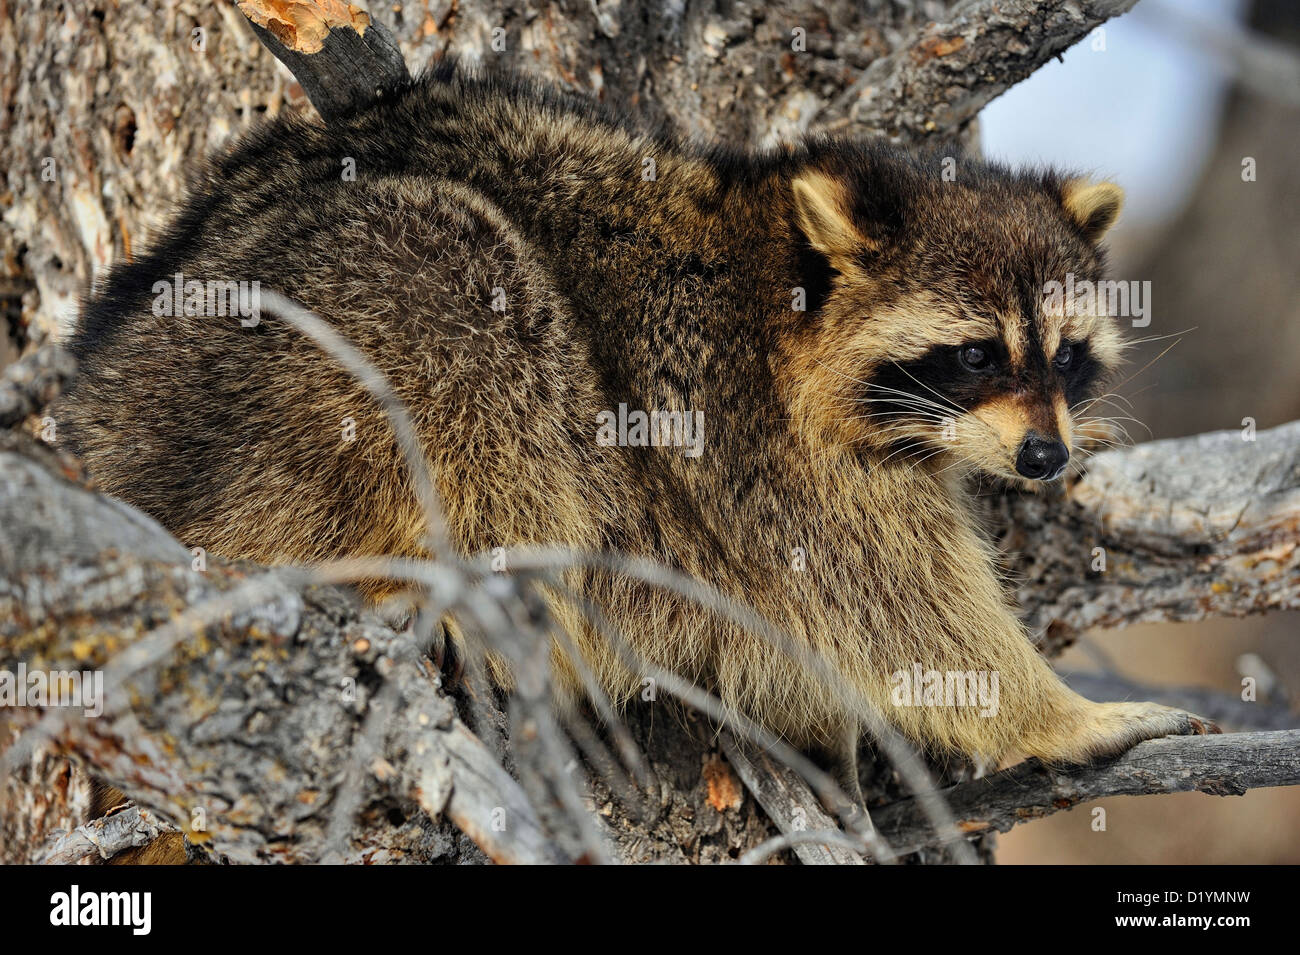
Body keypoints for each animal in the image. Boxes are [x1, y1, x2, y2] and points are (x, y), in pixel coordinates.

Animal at [58, 63, 1216, 805]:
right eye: (974, 355)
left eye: (1065, 355)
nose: (1044, 458)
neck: (781, 285)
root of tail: (101, 423)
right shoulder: (755, 448)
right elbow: (898, 614)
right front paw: (1054, 715)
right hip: (287, 358)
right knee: (461, 285)